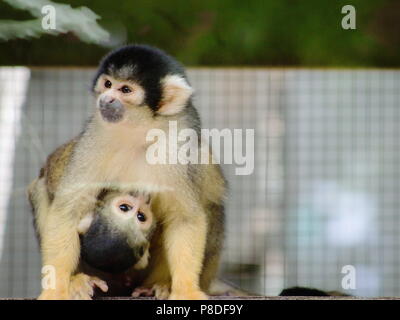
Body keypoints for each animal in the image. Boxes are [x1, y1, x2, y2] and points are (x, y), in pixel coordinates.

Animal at [28, 45, 225, 300]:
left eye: (125, 90)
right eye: (108, 84)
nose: (106, 99)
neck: (138, 133)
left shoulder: (178, 142)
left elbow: (184, 217)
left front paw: (186, 288)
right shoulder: (96, 134)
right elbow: (68, 208)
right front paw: (56, 287)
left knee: (211, 203)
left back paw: (159, 284)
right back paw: (77, 280)